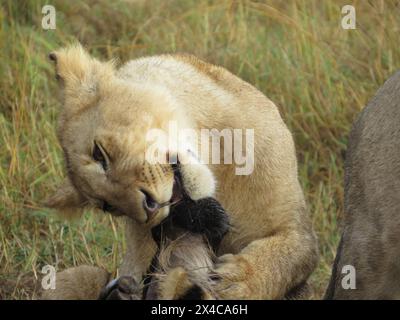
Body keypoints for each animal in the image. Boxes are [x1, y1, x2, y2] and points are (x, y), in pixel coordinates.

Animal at [42, 45, 318, 300]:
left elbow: (290, 256)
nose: (149, 210)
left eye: (99, 154)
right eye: (108, 206)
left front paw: (235, 283)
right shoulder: (138, 264)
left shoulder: (295, 226)